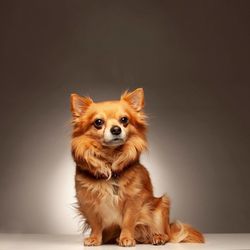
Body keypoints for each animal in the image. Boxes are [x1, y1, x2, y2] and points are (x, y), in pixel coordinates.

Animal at [69, 88, 204, 246]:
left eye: (124, 120)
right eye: (98, 122)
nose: (116, 129)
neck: (111, 161)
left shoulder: (133, 200)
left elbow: (128, 221)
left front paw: (126, 238)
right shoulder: (88, 202)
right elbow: (95, 223)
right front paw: (95, 239)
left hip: (161, 206)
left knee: (164, 233)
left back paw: (157, 237)